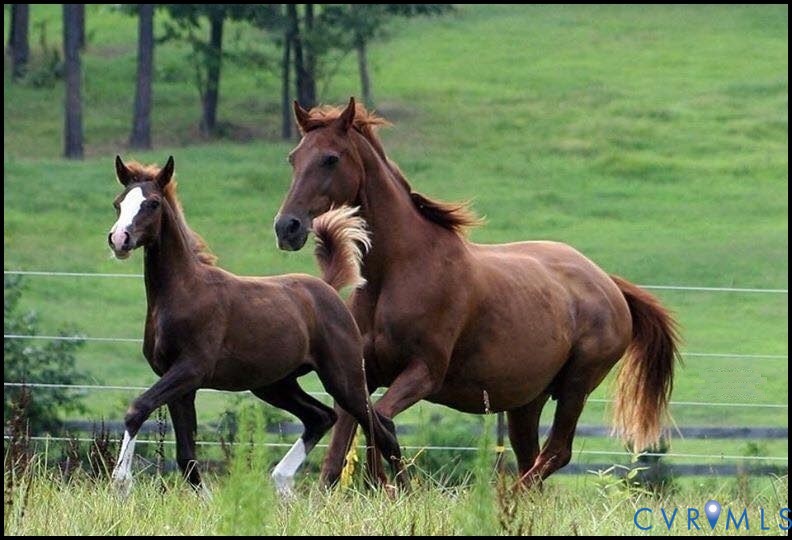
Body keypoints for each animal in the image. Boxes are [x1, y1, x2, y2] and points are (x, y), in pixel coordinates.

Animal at [106, 155, 404, 495]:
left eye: (152, 203)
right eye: (118, 203)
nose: (119, 239)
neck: (183, 292)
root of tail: (326, 288)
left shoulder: (192, 369)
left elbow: (137, 408)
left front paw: (122, 482)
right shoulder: (181, 385)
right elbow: (186, 457)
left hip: (344, 377)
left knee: (383, 431)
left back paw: (404, 494)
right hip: (275, 384)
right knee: (321, 417)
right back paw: (284, 485)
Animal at [274, 98, 680, 487]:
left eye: (330, 158)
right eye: (293, 157)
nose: (286, 227)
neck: (397, 272)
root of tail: (609, 283)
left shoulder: (424, 372)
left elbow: (382, 423)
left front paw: (393, 488)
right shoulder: (359, 375)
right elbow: (340, 453)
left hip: (576, 385)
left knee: (555, 454)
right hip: (526, 401)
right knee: (531, 459)